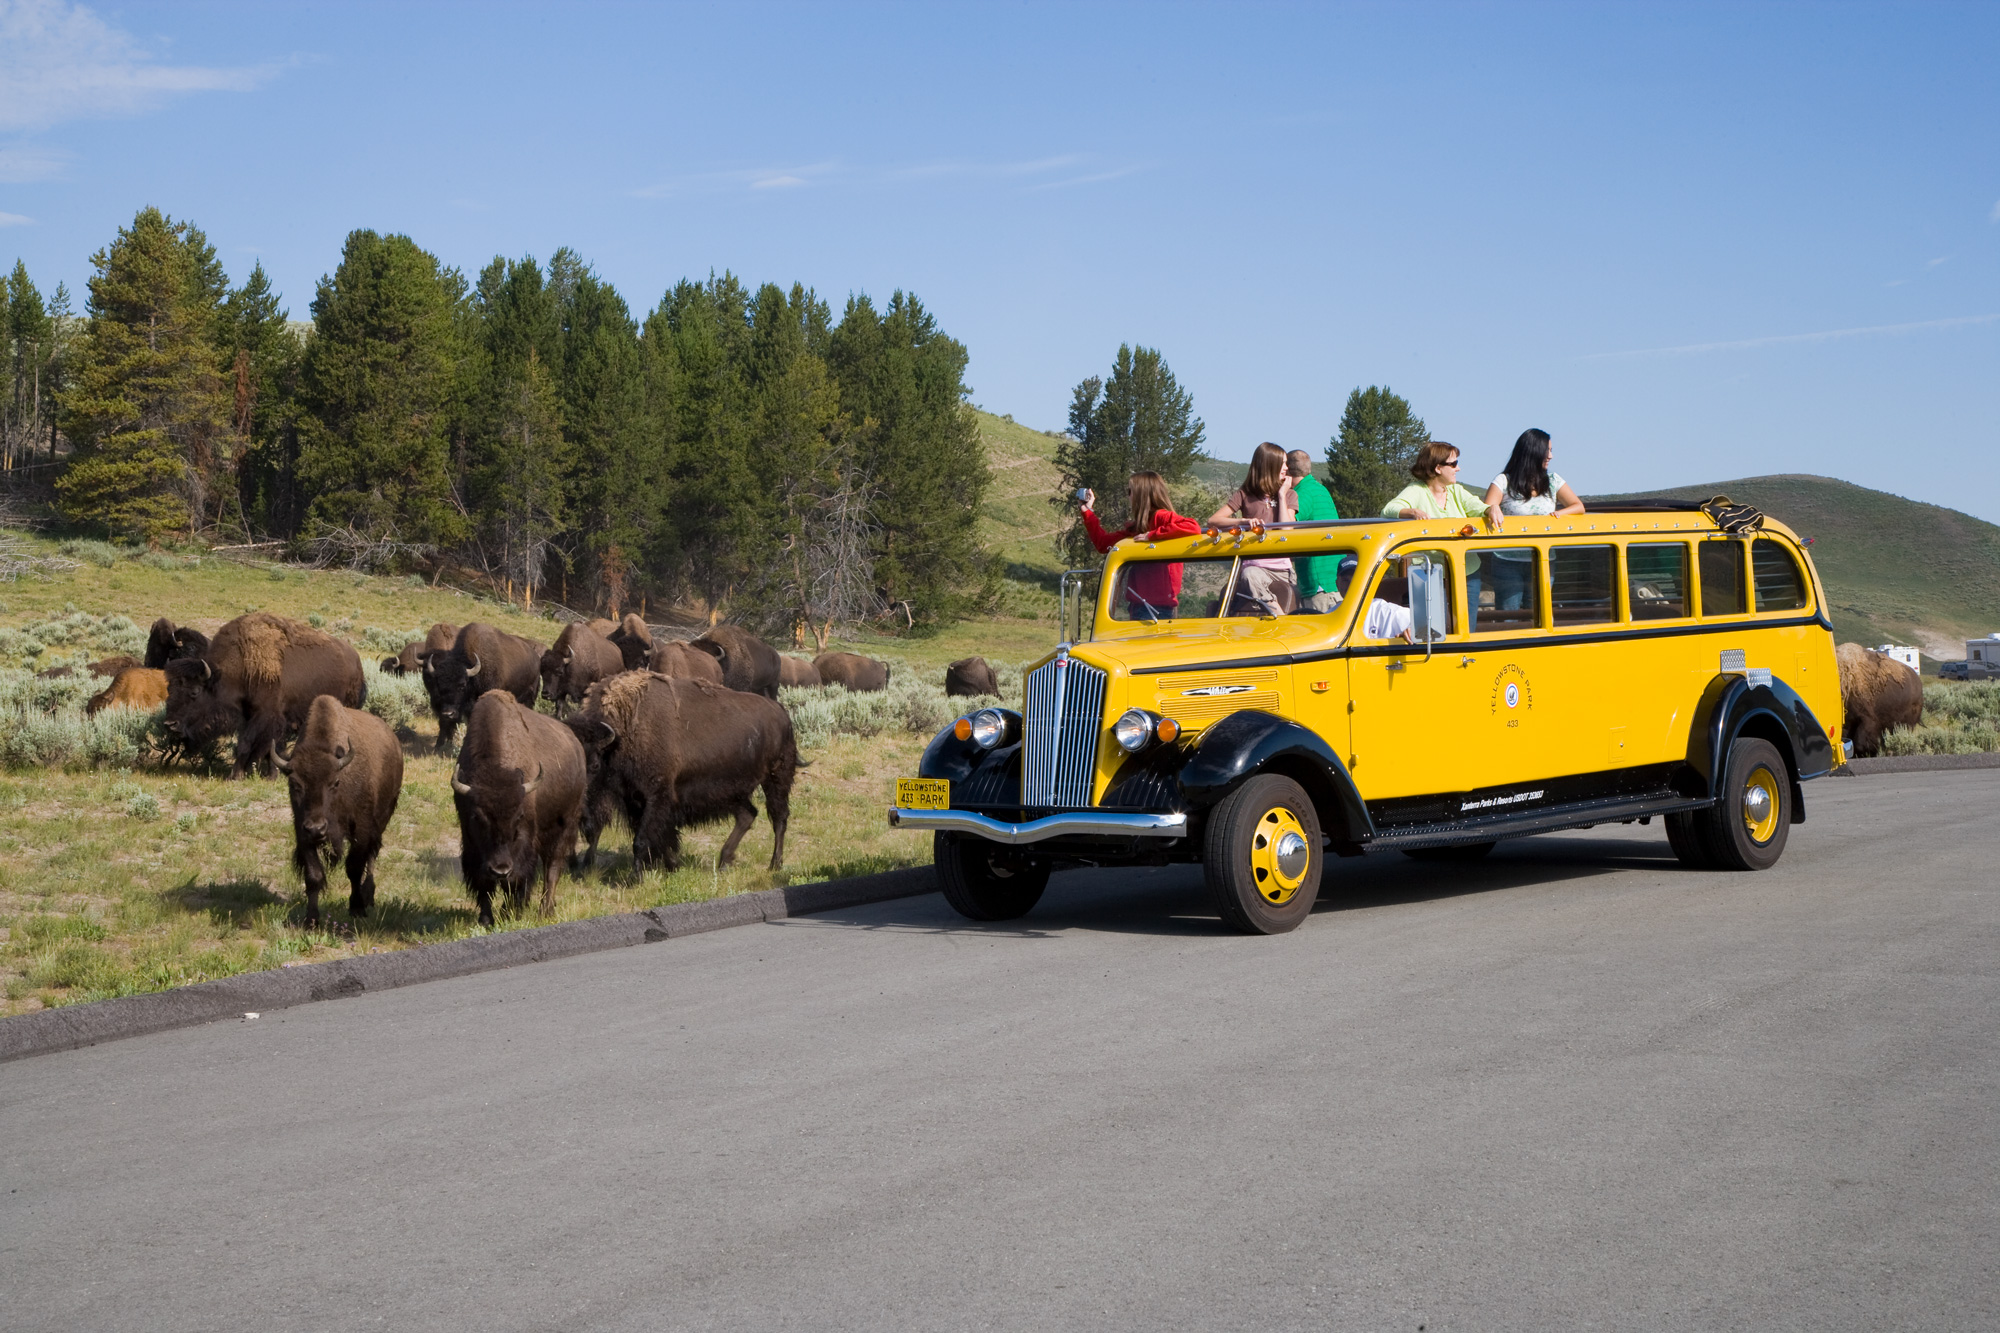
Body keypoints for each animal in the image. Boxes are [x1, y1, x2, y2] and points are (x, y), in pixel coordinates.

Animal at [164, 612, 368, 780]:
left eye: (195, 691)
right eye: (170, 689)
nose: (169, 724)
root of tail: (357, 661)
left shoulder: (265, 716)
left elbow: (247, 744)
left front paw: (235, 776)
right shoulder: (260, 718)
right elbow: (272, 748)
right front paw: (271, 775)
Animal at [278, 696, 402, 924]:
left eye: (335, 783)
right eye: (294, 784)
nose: (317, 828)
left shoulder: (361, 828)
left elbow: (354, 867)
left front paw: (357, 908)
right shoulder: (302, 831)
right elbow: (314, 875)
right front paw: (311, 919)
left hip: (383, 819)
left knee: (372, 855)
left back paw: (368, 896)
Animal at [450, 684, 584, 924]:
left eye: (519, 817)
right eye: (478, 818)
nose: (500, 869)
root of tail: (576, 745)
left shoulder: (524, 842)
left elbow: (517, 879)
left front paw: (511, 912)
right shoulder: (471, 841)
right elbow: (482, 881)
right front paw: (486, 919)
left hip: (565, 826)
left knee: (552, 868)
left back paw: (545, 910)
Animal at [564, 664, 796, 872]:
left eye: (594, 765)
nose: (580, 817)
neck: (623, 734)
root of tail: (781, 712)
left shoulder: (657, 796)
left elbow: (642, 839)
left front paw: (635, 877)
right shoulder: (635, 800)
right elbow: (660, 836)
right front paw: (671, 866)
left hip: (776, 778)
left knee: (779, 818)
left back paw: (774, 865)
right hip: (732, 790)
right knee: (747, 814)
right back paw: (724, 862)